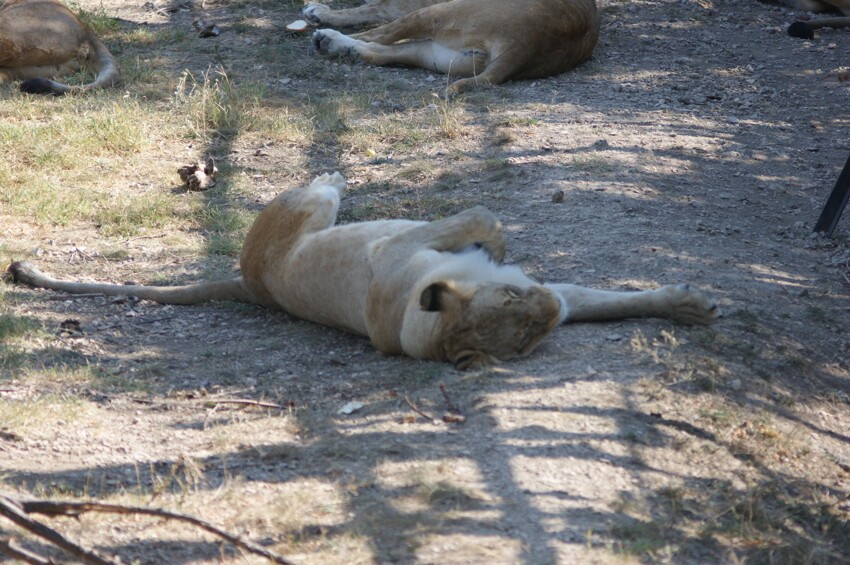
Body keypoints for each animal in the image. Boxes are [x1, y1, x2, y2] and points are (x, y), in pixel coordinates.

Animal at [6, 172, 724, 368]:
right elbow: (483, 215)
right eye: (517, 314)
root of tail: (255, 287)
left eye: (530, 337)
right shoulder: (410, 245)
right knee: (323, 189)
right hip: (306, 207)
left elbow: (614, 299)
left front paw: (690, 305)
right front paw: (491, 230)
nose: (549, 308)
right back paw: (335, 173)